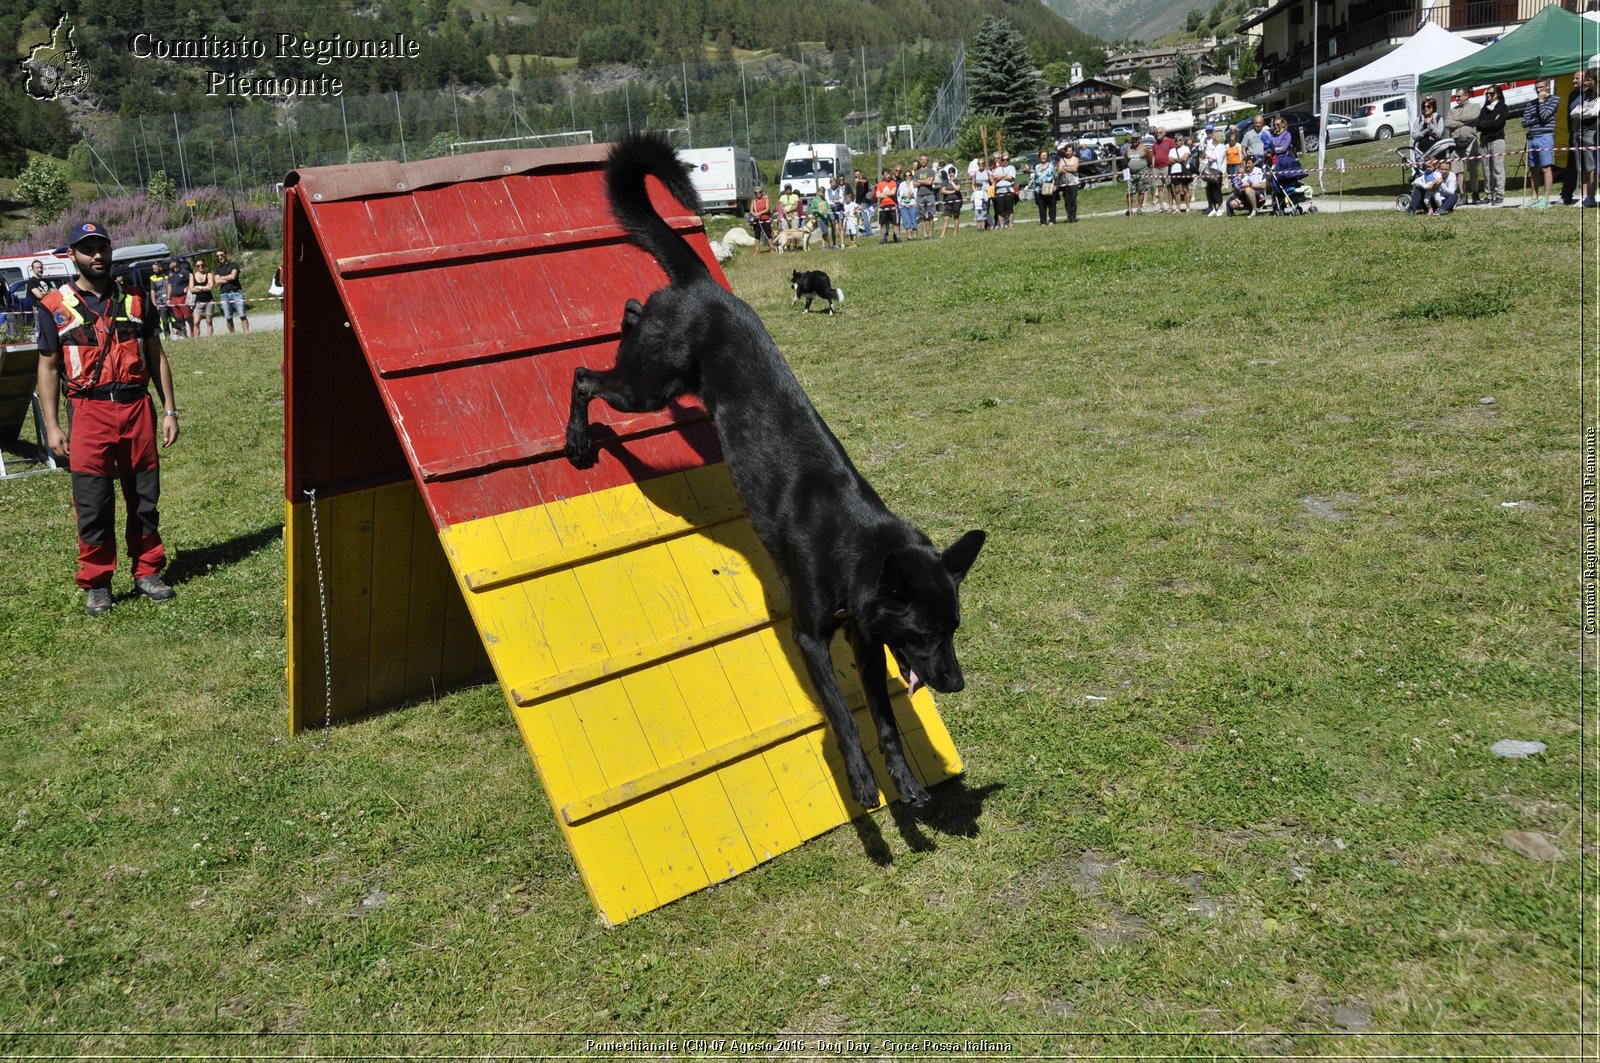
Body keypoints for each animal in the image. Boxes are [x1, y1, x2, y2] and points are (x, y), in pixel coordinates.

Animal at [563, 135, 985, 813]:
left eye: (953, 628)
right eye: (925, 629)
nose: (955, 682)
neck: (855, 543)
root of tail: (703, 285)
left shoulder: (866, 642)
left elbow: (886, 722)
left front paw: (905, 782)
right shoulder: (811, 636)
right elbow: (842, 715)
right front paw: (861, 781)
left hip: (664, 377)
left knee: (631, 314)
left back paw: (628, 319)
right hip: (646, 388)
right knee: (584, 375)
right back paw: (577, 440)